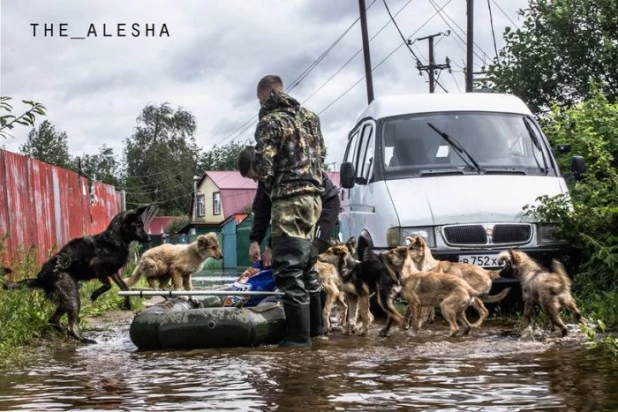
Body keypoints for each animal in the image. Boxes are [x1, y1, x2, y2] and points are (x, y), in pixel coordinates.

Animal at [2, 206, 150, 344]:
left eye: (142, 225)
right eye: (138, 226)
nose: (149, 238)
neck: (114, 240)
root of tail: (41, 278)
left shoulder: (112, 272)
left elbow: (124, 286)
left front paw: (127, 302)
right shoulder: (97, 265)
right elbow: (108, 285)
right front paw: (95, 294)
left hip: (67, 296)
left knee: (53, 320)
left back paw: (65, 333)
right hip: (72, 295)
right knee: (71, 326)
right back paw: (83, 339)